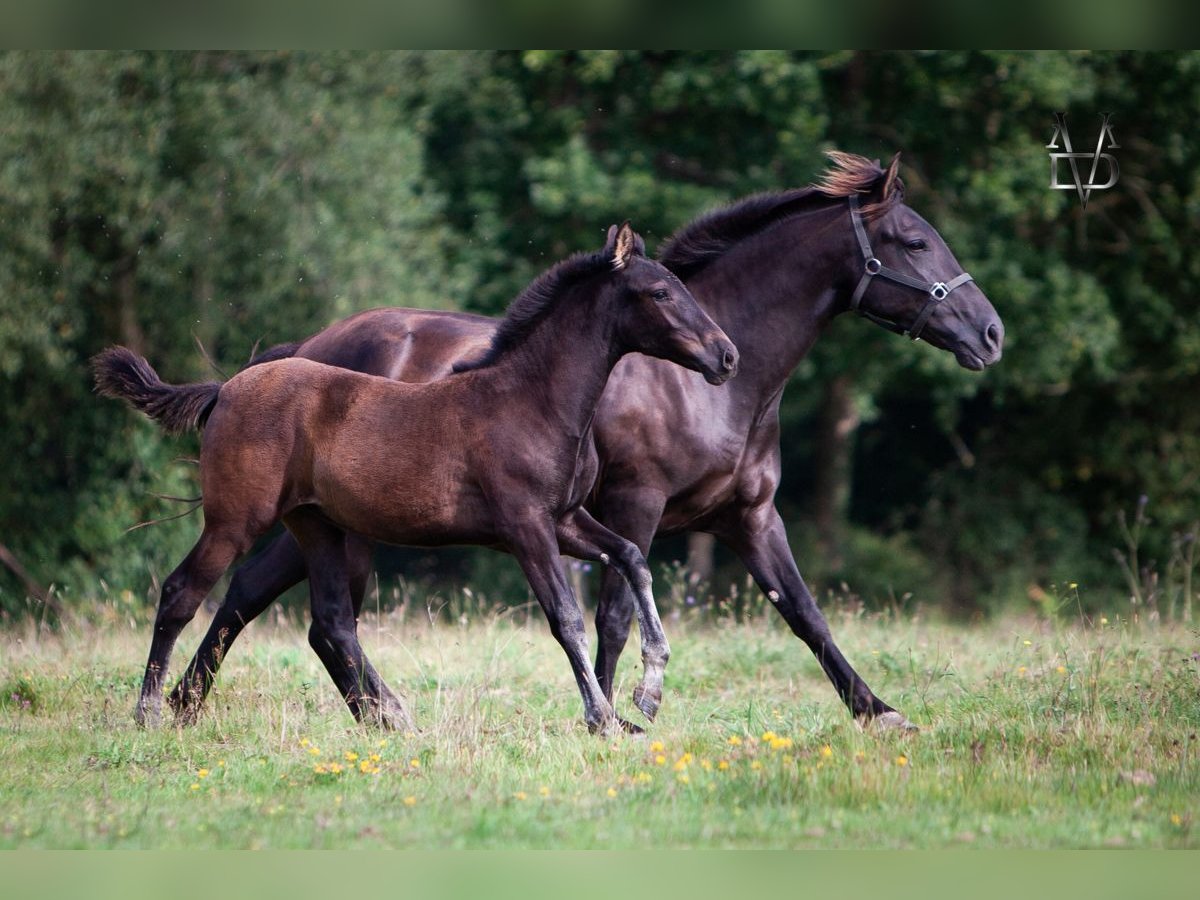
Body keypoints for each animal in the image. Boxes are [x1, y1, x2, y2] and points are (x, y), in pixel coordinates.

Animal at [93, 224, 734, 734]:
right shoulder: (526, 526)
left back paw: (391, 716)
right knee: (181, 592)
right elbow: (567, 619)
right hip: (235, 519)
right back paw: (150, 713)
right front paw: (602, 717)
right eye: (661, 292)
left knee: (331, 620)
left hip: (317, 525)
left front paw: (647, 692)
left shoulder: (567, 519)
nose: (726, 356)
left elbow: (632, 558)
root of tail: (225, 388)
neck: (530, 400)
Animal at [174, 151, 1008, 734]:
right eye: (913, 241)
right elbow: (611, 616)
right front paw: (616, 708)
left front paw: (879, 710)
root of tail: (297, 352)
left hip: (336, 525)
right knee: (268, 601)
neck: (710, 390)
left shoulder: (750, 516)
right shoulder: (634, 504)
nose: (991, 334)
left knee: (274, 604)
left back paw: (213, 705)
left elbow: (804, 612)